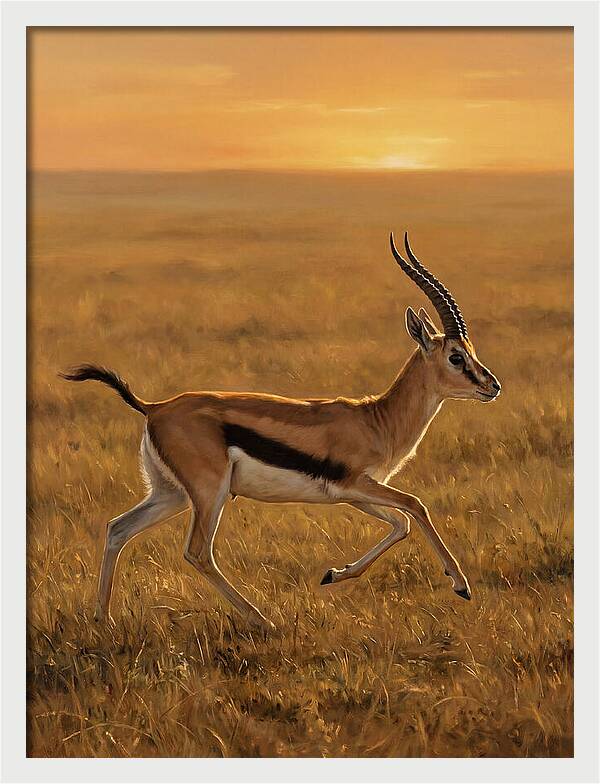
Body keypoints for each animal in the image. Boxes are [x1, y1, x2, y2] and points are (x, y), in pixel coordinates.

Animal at [61, 232, 501, 632]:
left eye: (471, 351)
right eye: (456, 356)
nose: (492, 385)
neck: (377, 419)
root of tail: (154, 407)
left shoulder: (352, 493)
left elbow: (401, 524)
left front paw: (333, 574)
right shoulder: (356, 484)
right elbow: (415, 506)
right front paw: (461, 585)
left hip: (171, 494)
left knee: (118, 528)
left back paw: (103, 619)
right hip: (209, 493)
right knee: (198, 552)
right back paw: (264, 620)